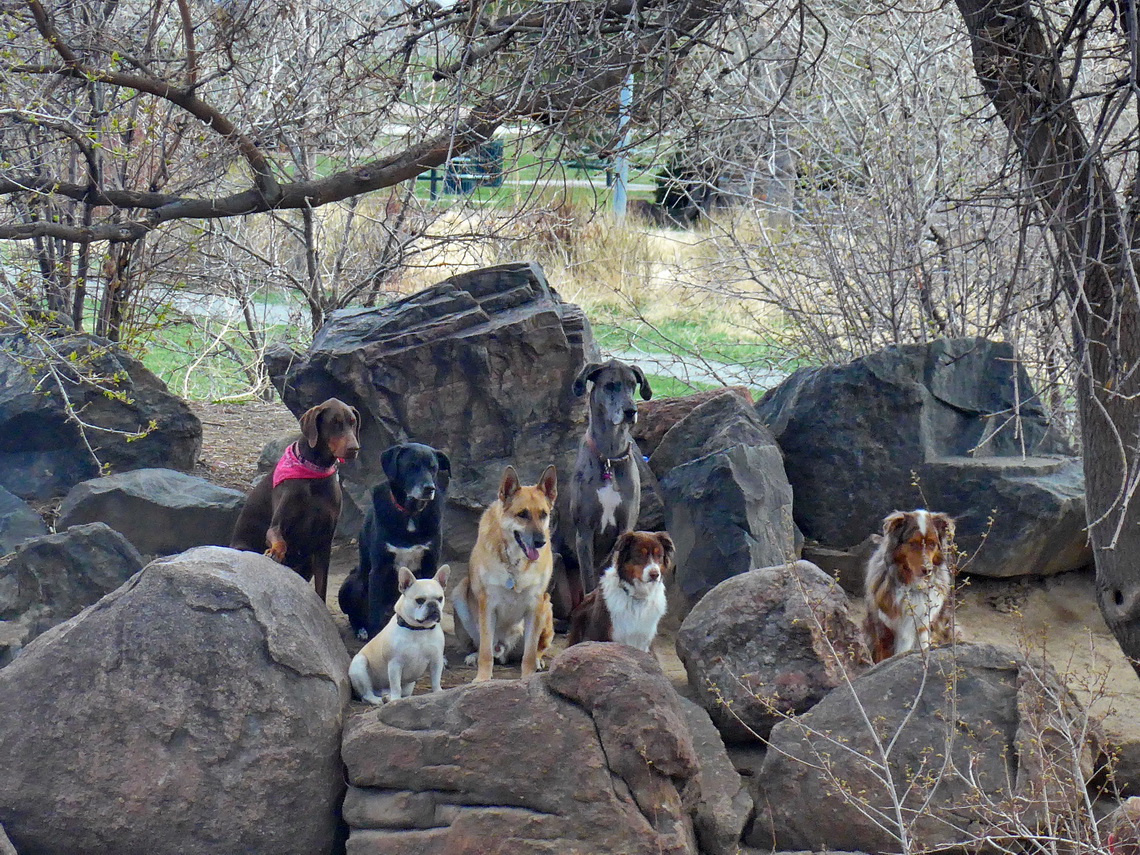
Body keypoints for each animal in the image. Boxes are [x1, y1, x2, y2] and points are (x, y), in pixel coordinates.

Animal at [335, 444, 446, 638]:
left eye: (433, 467)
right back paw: (361, 630)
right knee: (356, 616)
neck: (410, 514)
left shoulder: (430, 563)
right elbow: (375, 613)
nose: (429, 489)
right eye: (411, 466)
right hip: (352, 583)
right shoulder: (379, 569)